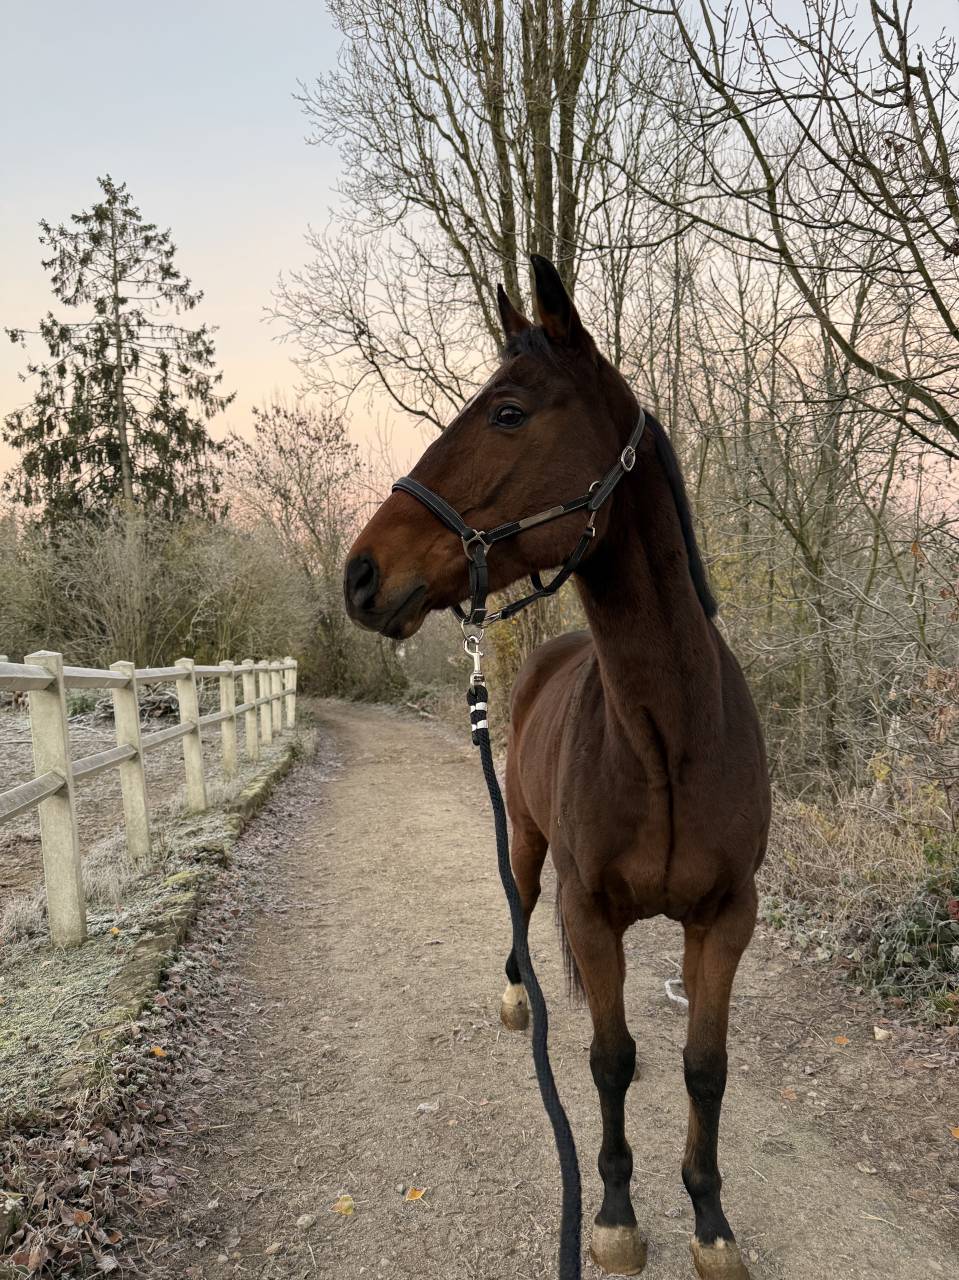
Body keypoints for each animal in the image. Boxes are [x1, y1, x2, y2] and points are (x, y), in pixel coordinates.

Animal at [343, 255, 770, 1280]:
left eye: (507, 412)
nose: (360, 575)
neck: (668, 739)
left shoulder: (726, 917)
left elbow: (704, 1067)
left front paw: (710, 1220)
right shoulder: (589, 907)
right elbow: (609, 1061)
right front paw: (613, 1215)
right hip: (530, 847)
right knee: (520, 909)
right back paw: (515, 997)